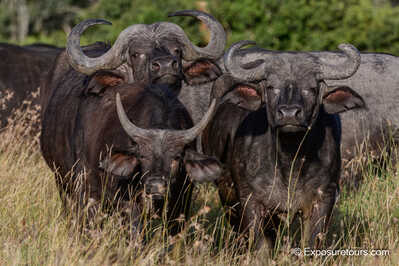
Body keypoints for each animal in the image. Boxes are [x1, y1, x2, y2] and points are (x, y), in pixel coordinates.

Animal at [205, 41, 368, 249]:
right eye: (271, 87)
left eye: (311, 88)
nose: (289, 114)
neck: (290, 162)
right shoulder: (250, 200)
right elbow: (260, 246)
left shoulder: (324, 198)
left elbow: (312, 242)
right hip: (226, 194)